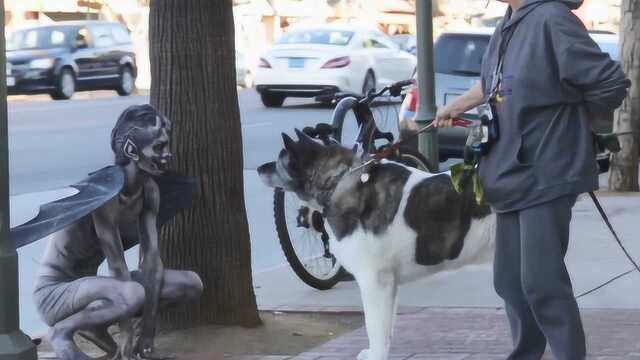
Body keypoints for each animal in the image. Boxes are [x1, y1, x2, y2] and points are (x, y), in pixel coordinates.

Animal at [258, 130, 496, 360]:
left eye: (279, 160)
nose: (260, 168)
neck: (338, 182)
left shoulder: (374, 281)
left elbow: (374, 328)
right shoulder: (389, 283)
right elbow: (386, 329)